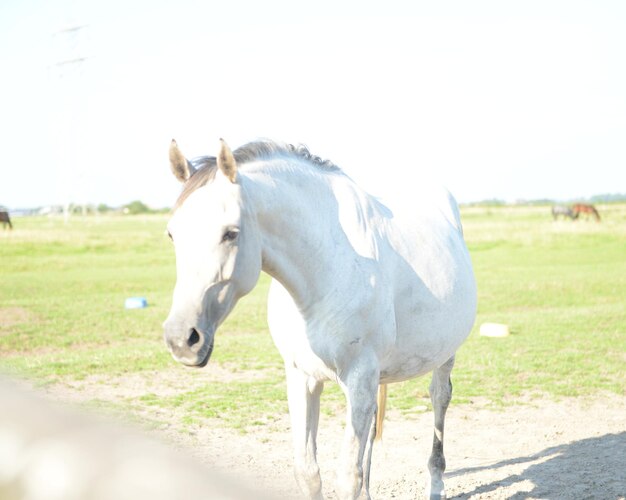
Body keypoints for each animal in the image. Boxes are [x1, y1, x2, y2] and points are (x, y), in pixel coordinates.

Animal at [163, 138, 476, 500]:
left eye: (230, 233)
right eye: (172, 234)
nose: (182, 339)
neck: (324, 269)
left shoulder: (359, 378)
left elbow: (348, 476)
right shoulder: (302, 377)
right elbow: (309, 471)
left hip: (444, 355)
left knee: (439, 398)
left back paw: (436, 483)